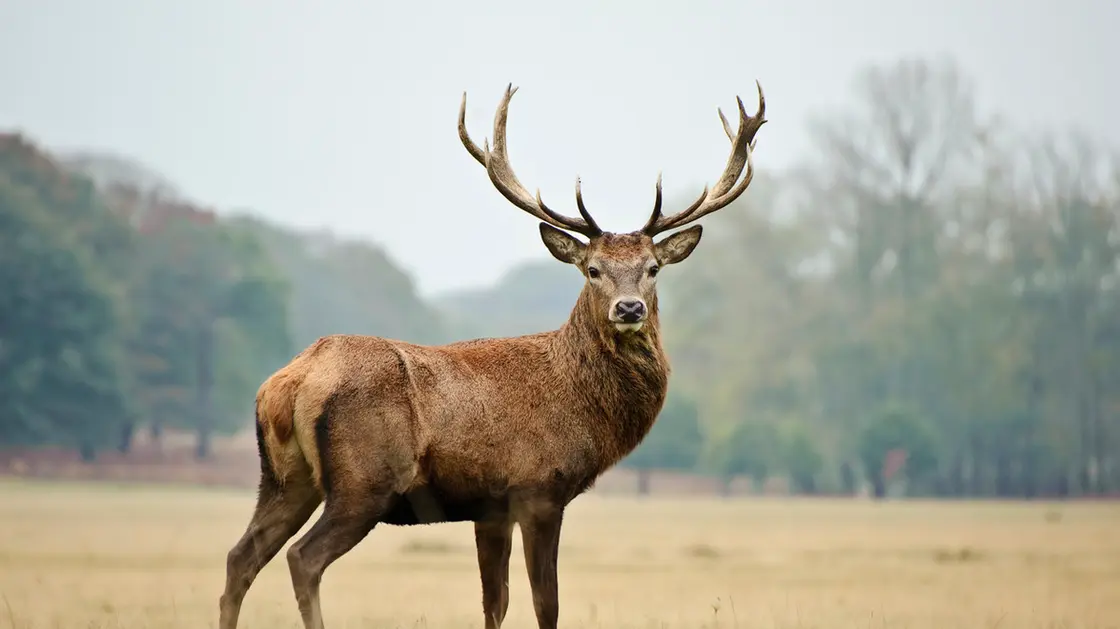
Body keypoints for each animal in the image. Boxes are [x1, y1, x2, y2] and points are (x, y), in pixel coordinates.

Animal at [215, 82, 766, 626]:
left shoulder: (489, 508)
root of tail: (289, 381)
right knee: (302, 558)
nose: (628, 308)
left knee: (241, 556)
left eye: (653, 268)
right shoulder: (539, 489)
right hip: (363, 481)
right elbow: (547, 603)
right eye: (592, 269)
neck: (582, 404)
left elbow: (494, 602)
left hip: (284, 479)